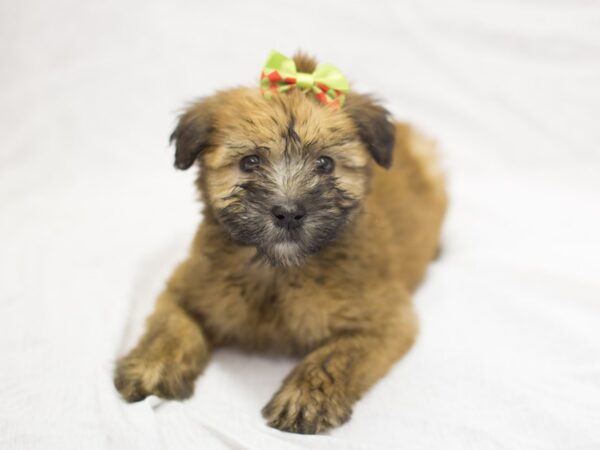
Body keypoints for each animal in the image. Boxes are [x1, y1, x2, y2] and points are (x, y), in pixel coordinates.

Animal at [115, 51, 448, 434]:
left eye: (325, 164)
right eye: (250, 162)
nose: (288, 213)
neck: (276, 270)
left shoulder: (386, 318)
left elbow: (338, 356)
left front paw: (305, 398)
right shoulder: (186, 286)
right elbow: (170, 326)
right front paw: (152, 367)